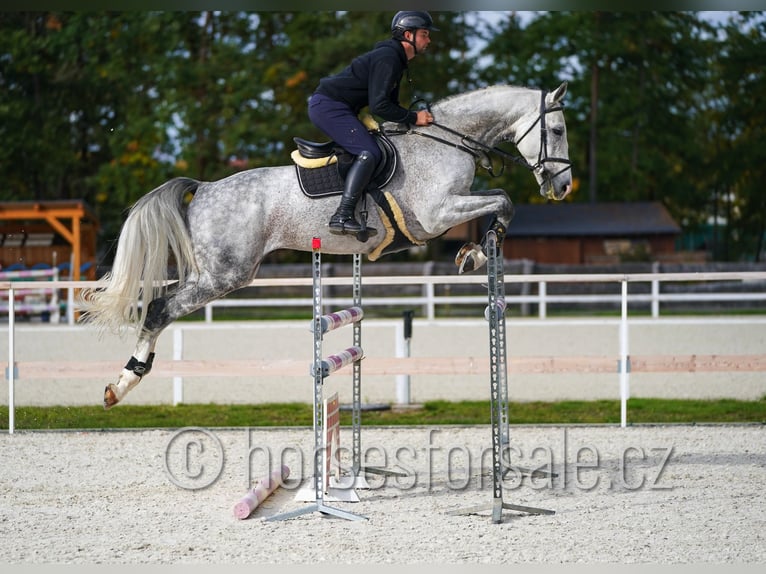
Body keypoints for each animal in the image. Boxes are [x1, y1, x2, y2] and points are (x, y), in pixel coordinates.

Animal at [79, 82, 572, 409]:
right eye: (559, 130)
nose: (563, 187)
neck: (448, 142)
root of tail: (204, 188)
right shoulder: (436, 215)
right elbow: (503, 200)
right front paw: (476, 252)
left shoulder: (447, 211)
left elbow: (498, 201)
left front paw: (475, 250)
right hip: (225, 274)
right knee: (159, 309)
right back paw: (121, 384)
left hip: (215, 272)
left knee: (158, 304)